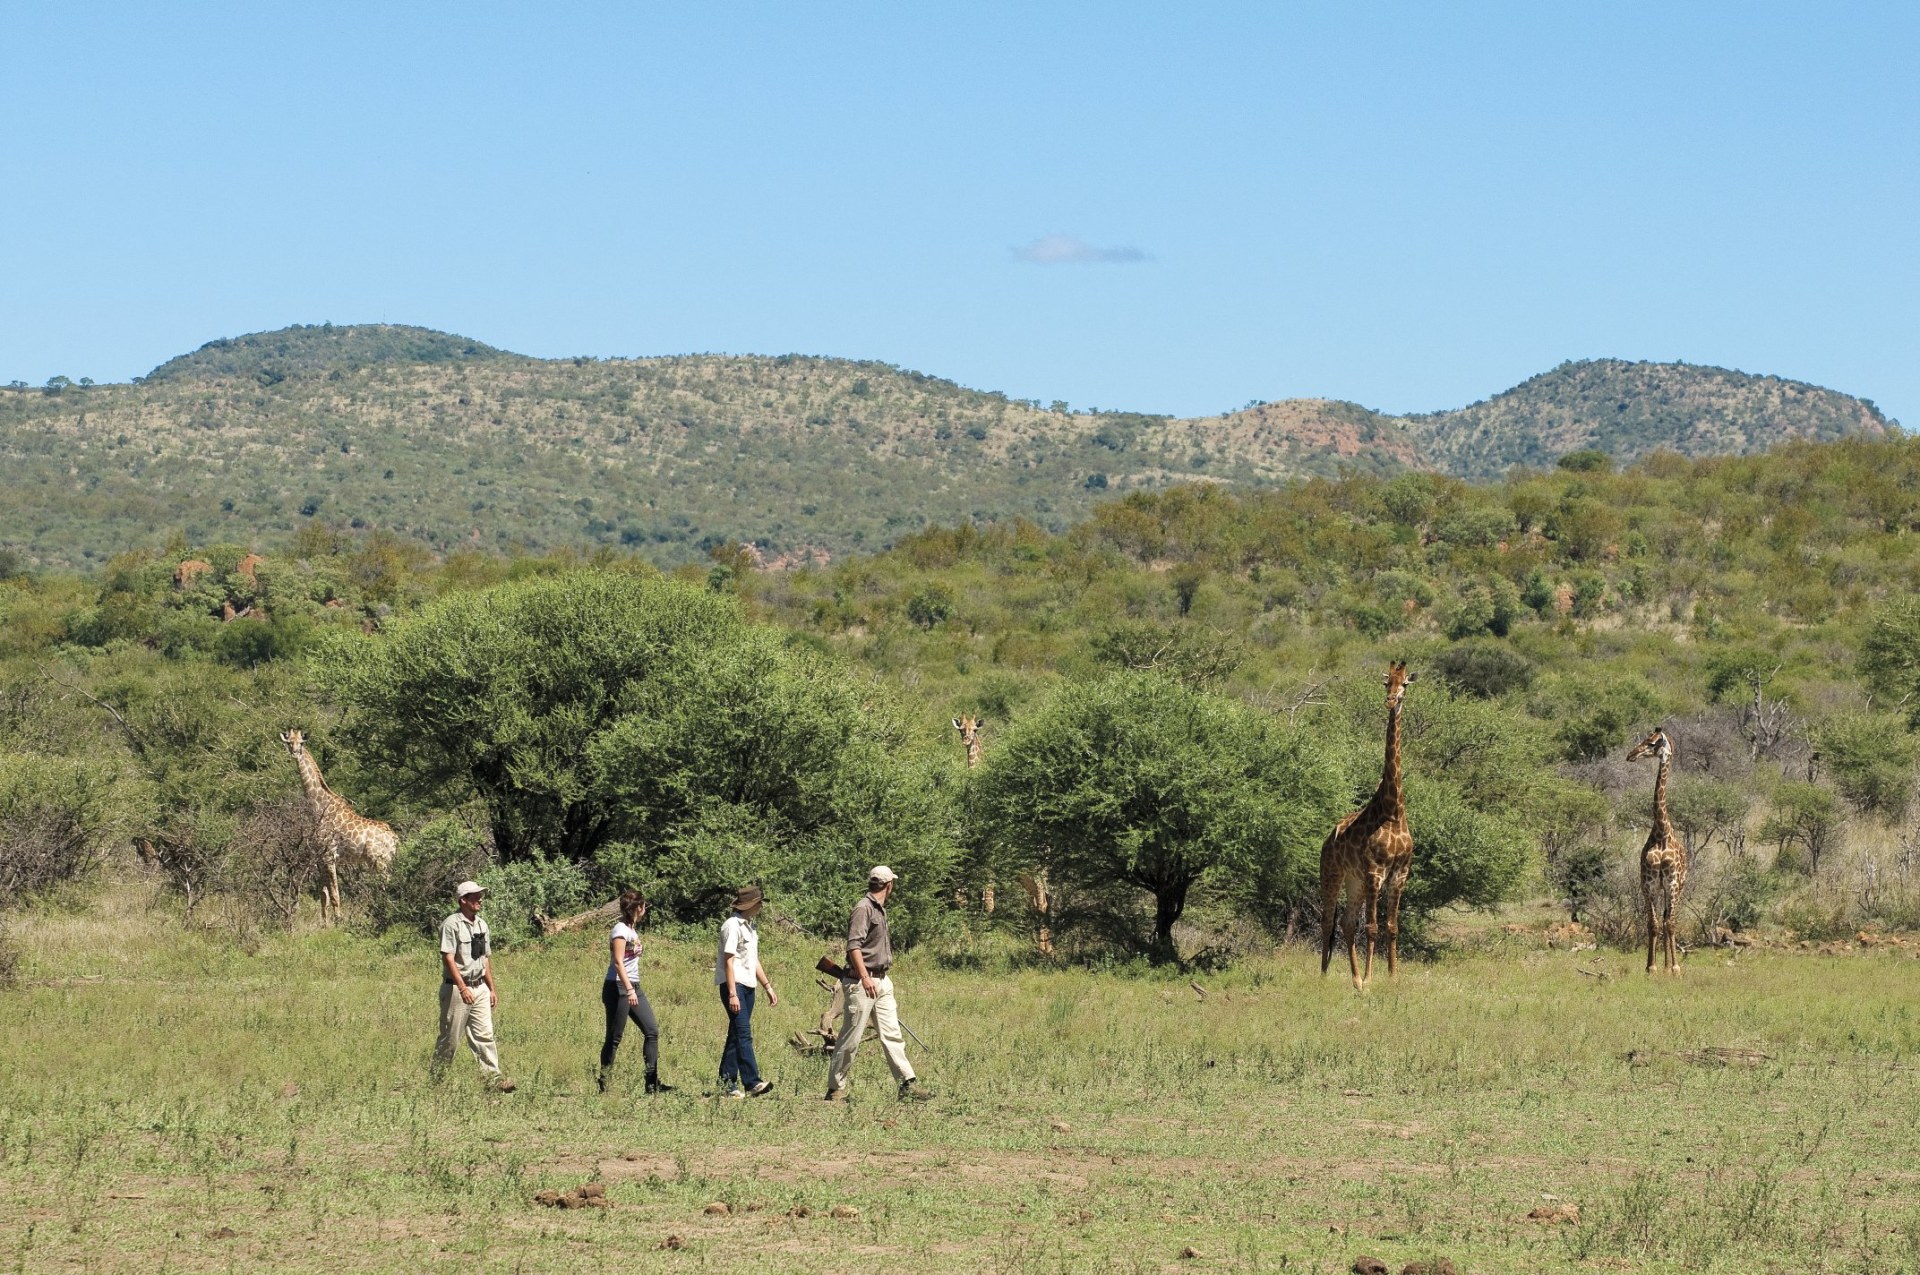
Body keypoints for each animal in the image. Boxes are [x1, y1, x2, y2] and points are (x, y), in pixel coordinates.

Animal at [280, 725, 397, 925]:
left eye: (301, 743)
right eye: (289, 742)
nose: (295, 753)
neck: (319, 807)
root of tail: (395, 839)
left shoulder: (329, 855)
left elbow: (335, 894)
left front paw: (339, 921)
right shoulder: (319, 857)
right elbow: (323, 895)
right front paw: (325, 924)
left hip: (380, 861)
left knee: (386, 885)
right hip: (380, 862)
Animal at [1313, 660, 1420, 990]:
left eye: (1405, 684)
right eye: (1386, 683)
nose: (1390, 701)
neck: (1393, 811)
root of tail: (1326, 839)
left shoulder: (1399, 874)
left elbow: (1391, 926)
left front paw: (1392, 976)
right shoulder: (1375, 871)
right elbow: (1372, 927)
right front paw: (1374, 980)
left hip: (1354, 881)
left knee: (1346, 922)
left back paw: (1355, 980)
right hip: (1332, 873)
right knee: (1328, 921)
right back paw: (1326, 977)